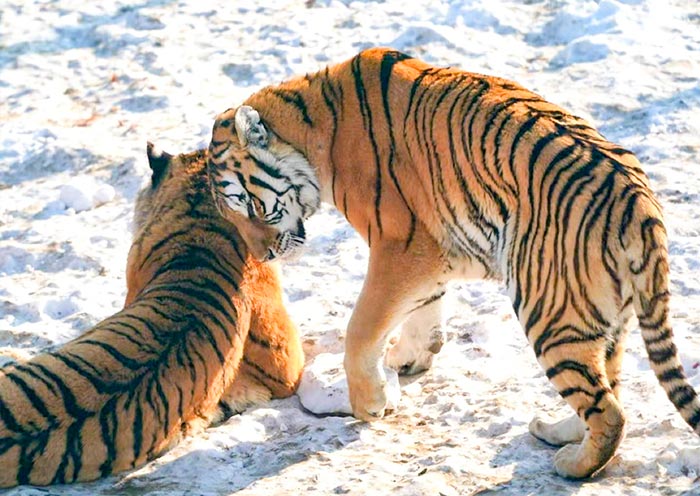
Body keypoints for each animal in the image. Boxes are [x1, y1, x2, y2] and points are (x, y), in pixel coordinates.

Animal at [206, 47, 700, 479]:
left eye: (251, 205)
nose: (263, 256)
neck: (313, 128)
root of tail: (641, 205)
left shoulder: (401, 244)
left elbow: (361, 329)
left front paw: (370, 403)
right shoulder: (433, 251)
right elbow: (425, 310)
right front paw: (408, 358)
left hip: (550, 311)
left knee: (609, 410)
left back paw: (573, 466)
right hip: (605, 318)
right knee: (609, 387)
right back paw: (558, 433)